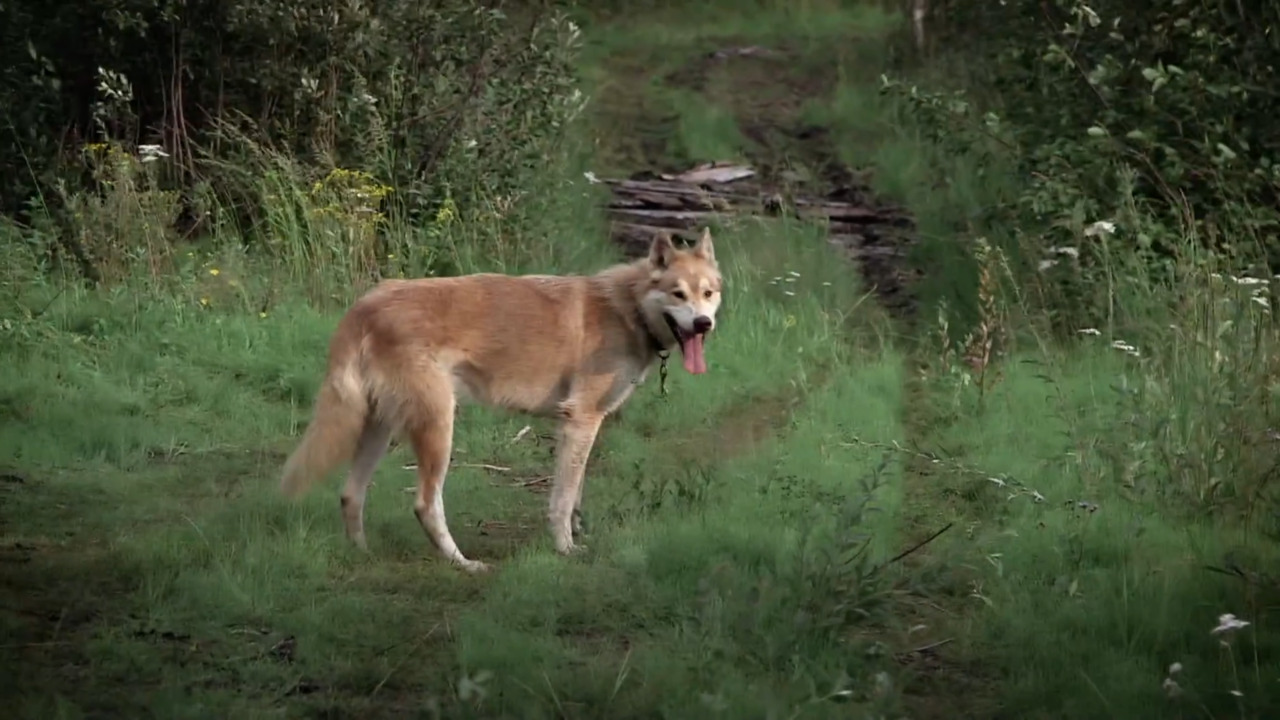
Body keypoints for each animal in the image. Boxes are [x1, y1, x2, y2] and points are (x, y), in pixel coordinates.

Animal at [279, 226, 721, 568]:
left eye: (708, 293)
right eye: (677, 294)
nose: (703, 324)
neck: (626, 309)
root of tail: (364, 305)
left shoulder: (580, 426)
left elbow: (575, 493)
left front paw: (578, 532)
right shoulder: (581, 419)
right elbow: (562, 499)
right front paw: (566, 548)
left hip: (379, 428)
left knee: (350, 495)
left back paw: (362, 555)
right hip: (438, 428)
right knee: (425, 504)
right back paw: (463, 563)